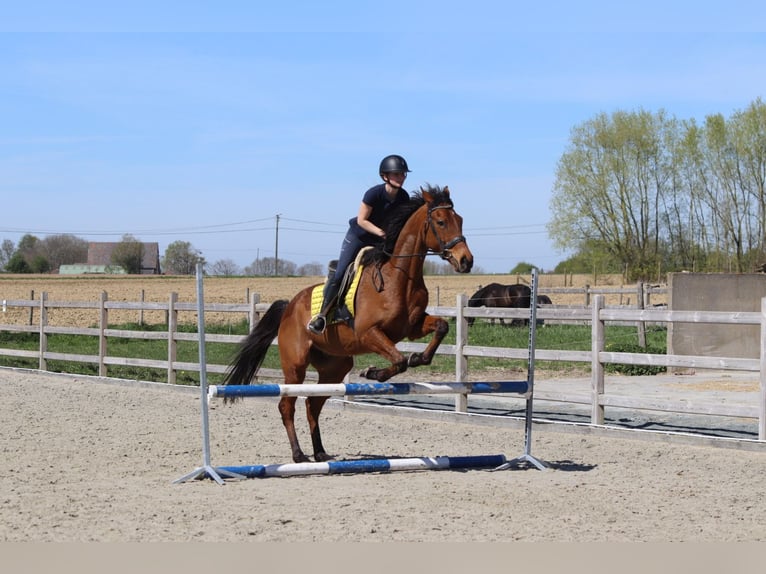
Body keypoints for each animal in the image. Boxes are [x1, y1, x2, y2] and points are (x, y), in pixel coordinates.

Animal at [223, 185, 473, 463]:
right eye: (440, 222)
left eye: (460, 219)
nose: (466, 261)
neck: (399, 276)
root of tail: (289, 306)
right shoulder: (369, 333)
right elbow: (399, 360)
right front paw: (372, 373)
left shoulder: (412, 327)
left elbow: (440, 328)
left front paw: (418, 358)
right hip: (295, 365)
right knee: (287, 404)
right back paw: (299, 455)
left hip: (334, 367)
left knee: (312, 405)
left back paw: (320, 453)